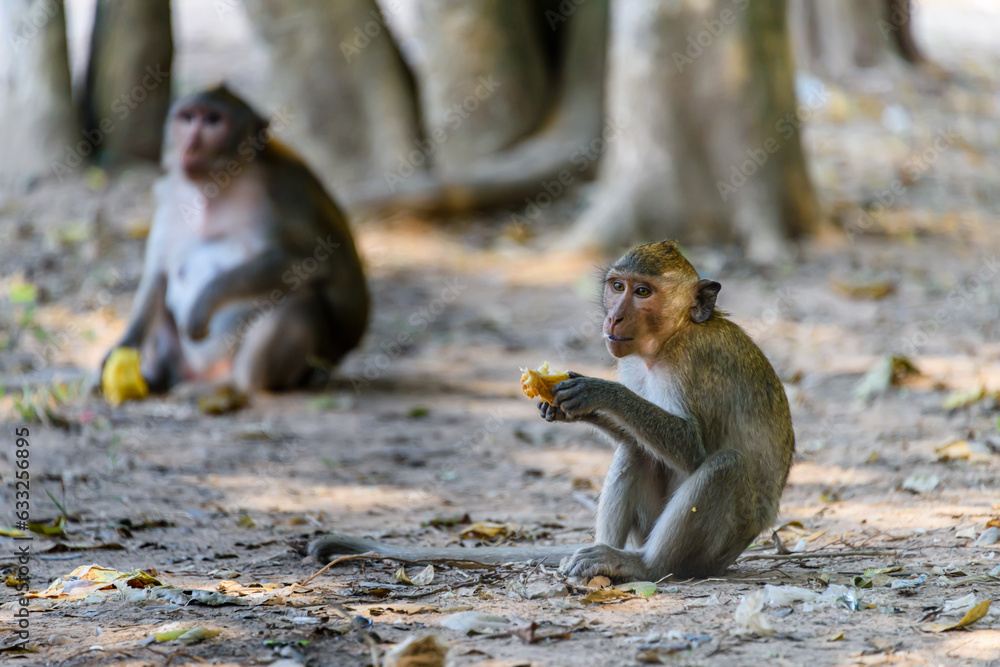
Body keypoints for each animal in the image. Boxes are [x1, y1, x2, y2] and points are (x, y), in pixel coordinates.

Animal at [99, 85, 368, 393]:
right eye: (187, 118)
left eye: (213, 121)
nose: (190, 146)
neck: (216, 184)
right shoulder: (169, 195)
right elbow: (157, 277)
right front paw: (118, 351)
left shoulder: (287, 189)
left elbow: (314, 263)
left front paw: (206, 300)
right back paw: (156, 377)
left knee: (299, 301)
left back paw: (241, 385)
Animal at [309, 240, 794, 580]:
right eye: (617, 287)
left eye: (643, 292)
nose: (614, 319)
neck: (671, 339)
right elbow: (636, 440)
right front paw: (566, 407)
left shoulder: (695, 363)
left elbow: (693, 448)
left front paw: (600, 392)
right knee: (636, 452)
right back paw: (603, 556)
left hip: (721, 546)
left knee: (724, 466)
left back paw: (645, 566)